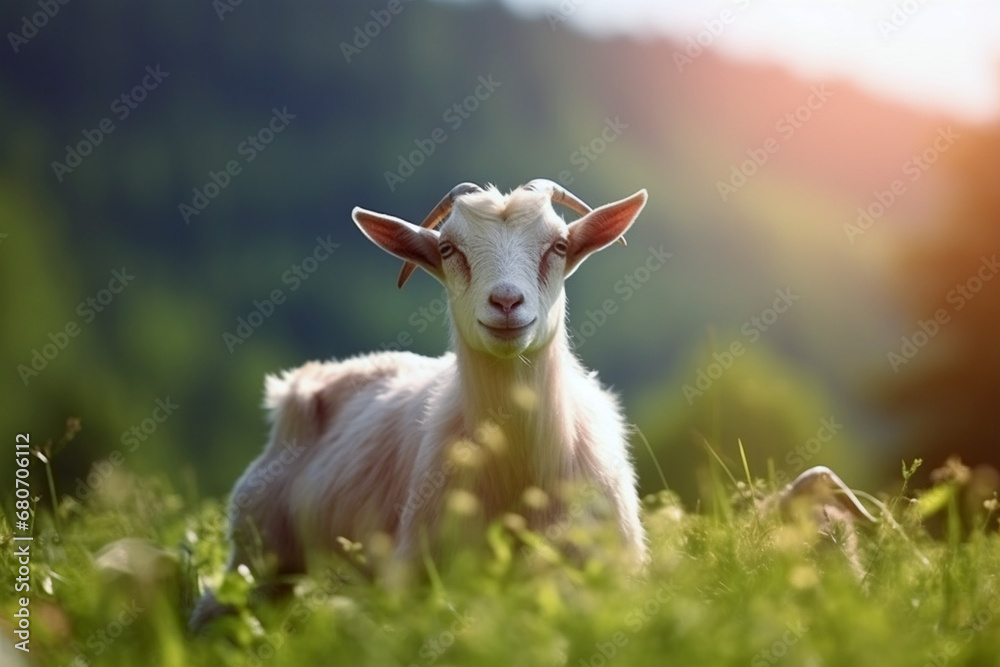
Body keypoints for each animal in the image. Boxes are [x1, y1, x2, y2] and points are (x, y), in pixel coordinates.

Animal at [191, 179, 649, 628]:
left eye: (558, 245)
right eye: (448, 249)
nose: (505, 302)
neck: (518, 472)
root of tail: (297, 386)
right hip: (257, 553)